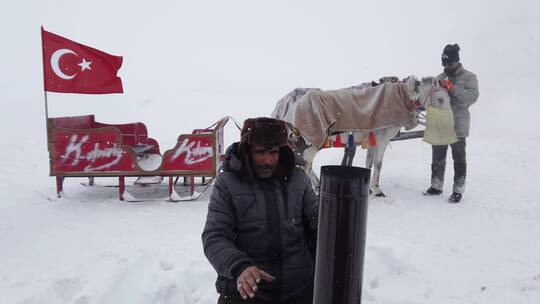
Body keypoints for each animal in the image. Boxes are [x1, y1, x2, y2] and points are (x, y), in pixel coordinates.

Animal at [272, 75, 450, 196]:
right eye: (441, 99)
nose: (449, 123)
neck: (401, 96)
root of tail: (287, 104)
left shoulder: (372, 140)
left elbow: (369, 163)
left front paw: (369, 188)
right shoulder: (382, 139)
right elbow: (379, 164)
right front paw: (377, 190)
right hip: (312, 145)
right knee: (305, 167)